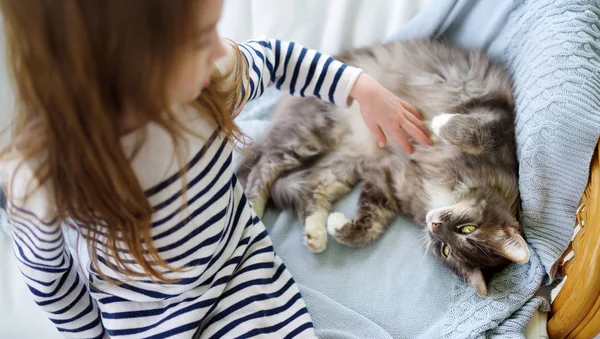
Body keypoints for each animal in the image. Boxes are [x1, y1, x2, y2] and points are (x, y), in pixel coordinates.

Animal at [239, 39, 528, 296]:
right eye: (467, 228)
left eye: (445, 249)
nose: (435, 226)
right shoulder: (498, 114)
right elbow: (474, 131)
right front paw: (437, 123)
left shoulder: (390, 178)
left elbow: (369, 228)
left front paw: (338, 226)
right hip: (309, 133)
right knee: (262, 168)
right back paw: (252, 209)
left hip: (345, 162)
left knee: (311, 186)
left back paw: (316, 233)